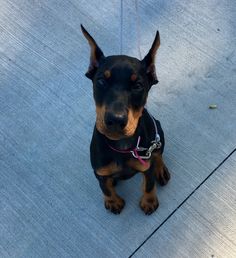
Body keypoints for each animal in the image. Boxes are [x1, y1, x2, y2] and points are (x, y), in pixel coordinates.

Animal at [81, 25, 170, 216]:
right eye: (101, 81)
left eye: (138, 86)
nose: (115, 120)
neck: (121, 145)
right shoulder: (99, 171)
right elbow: (105, 187)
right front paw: (113, 201)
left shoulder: (145, 165)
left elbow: (149, 183)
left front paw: (149, 201)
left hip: (158, 129)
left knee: (158, 152)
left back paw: (160, 169)